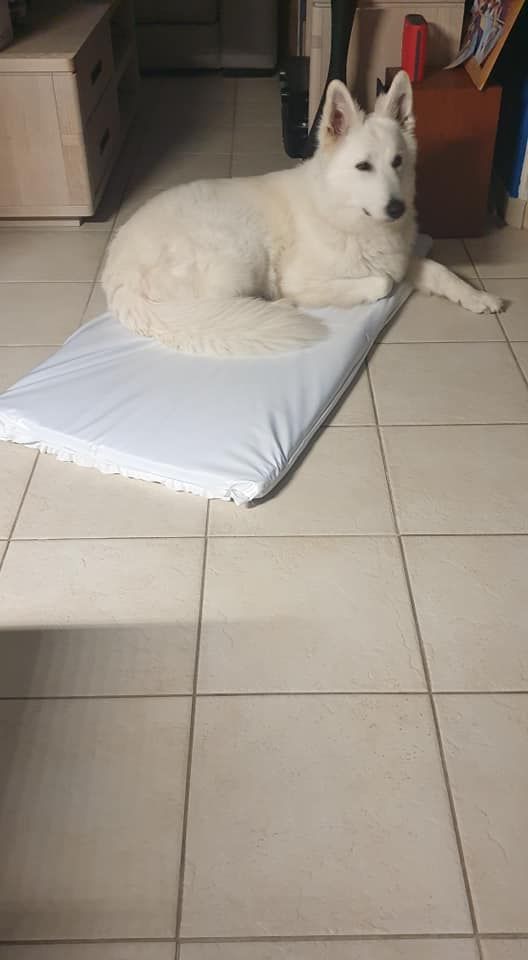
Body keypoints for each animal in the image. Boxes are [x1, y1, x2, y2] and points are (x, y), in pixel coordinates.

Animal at [102, 70, 502, 357]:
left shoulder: (401, 258)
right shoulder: (305, 277)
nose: (396, 208)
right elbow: (382, 282)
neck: (343, 215)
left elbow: (437, 269)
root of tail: (118, 276)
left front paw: (477, 296)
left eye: (398, 162)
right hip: (236, 256)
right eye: (363, 166)